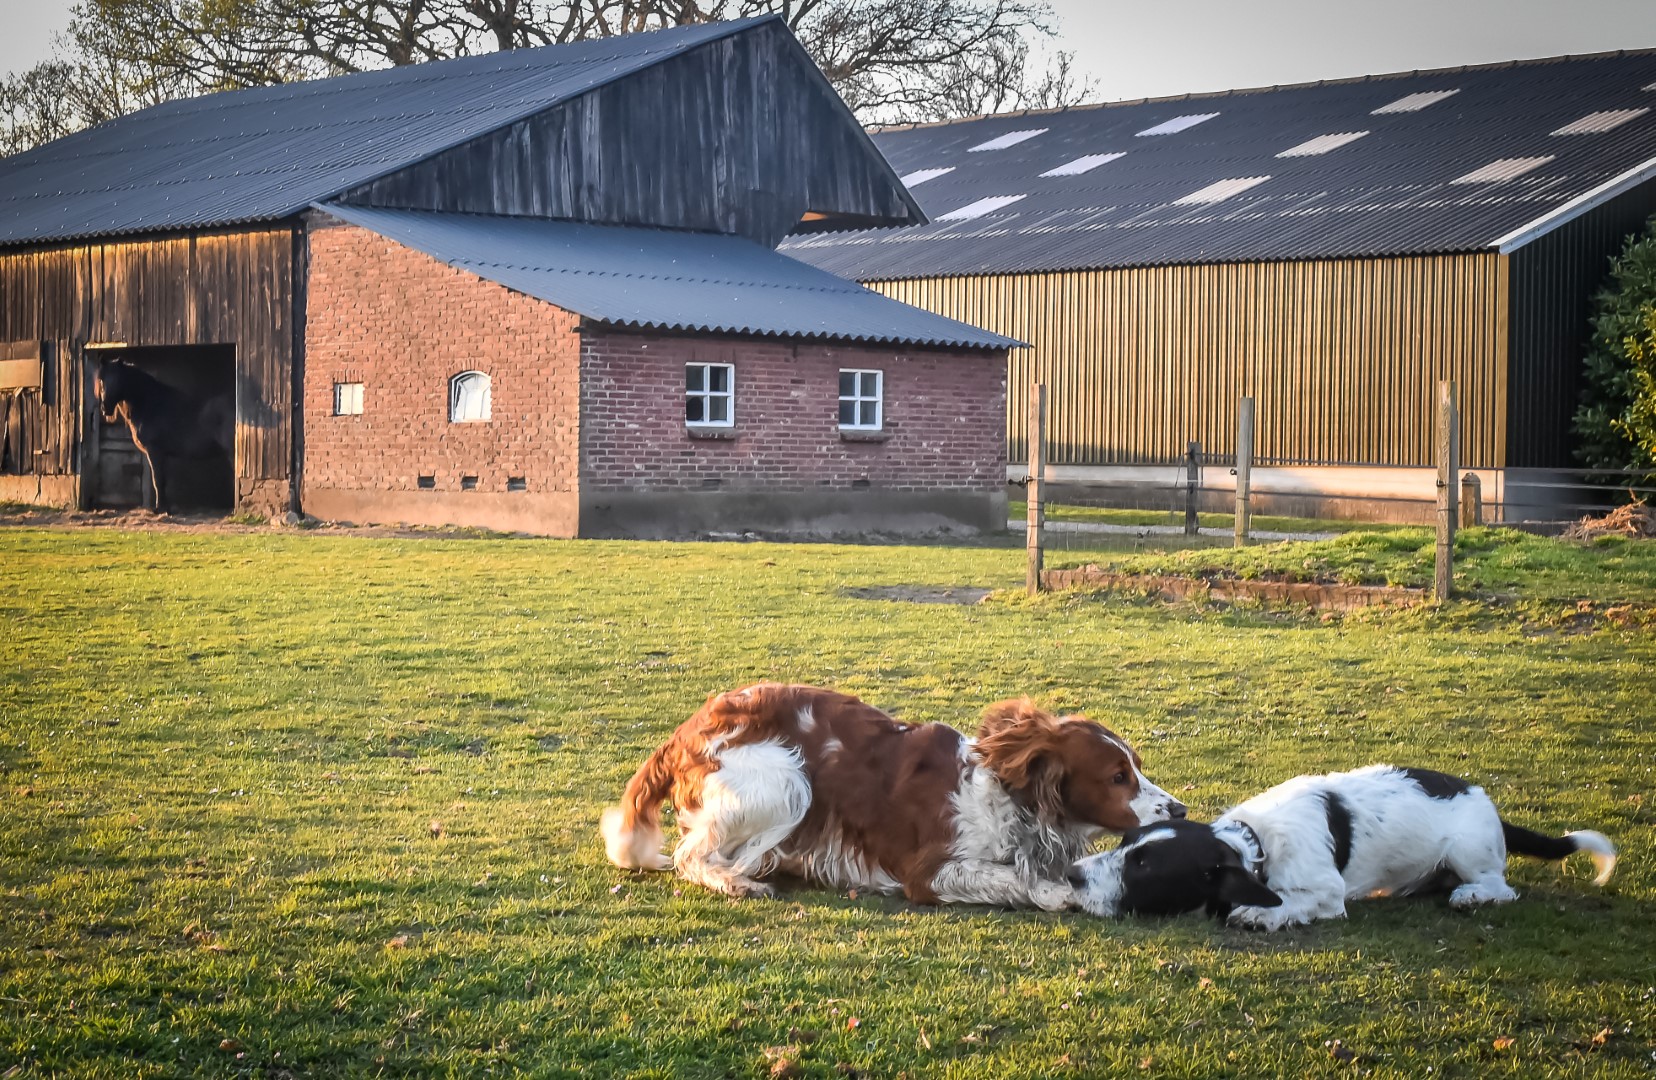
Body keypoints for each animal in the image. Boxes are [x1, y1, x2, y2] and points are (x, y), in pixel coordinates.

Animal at [94, 356, 236, 513]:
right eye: (102, 380)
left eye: (118, 379)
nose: (105, 407)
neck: (150, 404)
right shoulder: (163, 454)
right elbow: (162, 480)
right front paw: (165, 507)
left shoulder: (154, 450)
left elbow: (157, 479)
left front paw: (159, 508)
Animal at [602, 689, 1185, 907]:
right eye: (1117, 777)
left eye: (1136, 766)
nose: (1179, 810)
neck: (1011, 801)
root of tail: (686, 730)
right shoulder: (929, 872)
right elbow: (1020, 879)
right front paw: (1054, 890)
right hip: (789, 783)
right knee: (690, 855)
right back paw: (737, 880)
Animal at [1059, 761, 1616, 934]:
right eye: (1126, 843)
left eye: (1145, 866)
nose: (1072, 875)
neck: (1255, 843)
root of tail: (1488, 802)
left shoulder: (1326, 892)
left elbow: (1290, 901)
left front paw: (1260, 913)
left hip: (1467, 850)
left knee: (1501, 887)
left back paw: (1471, 896)